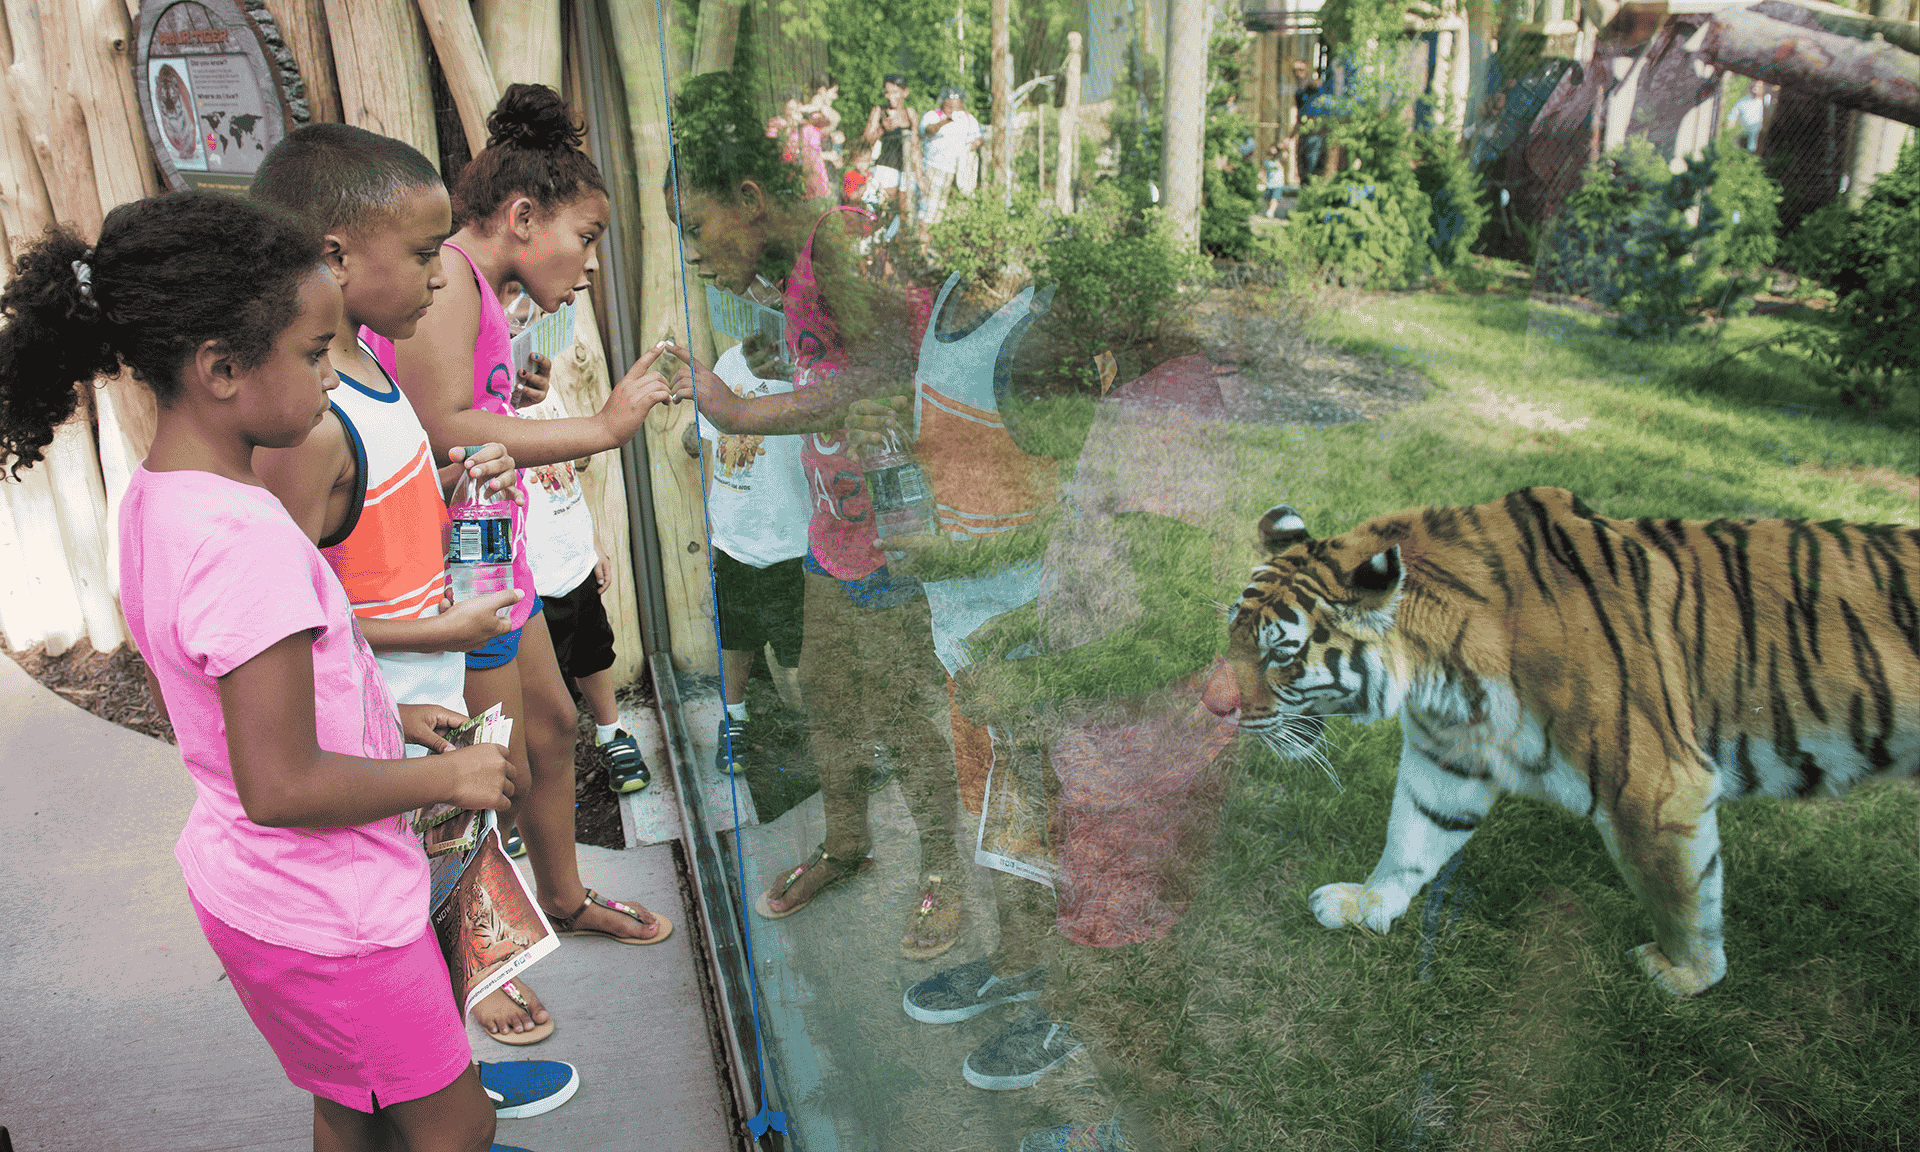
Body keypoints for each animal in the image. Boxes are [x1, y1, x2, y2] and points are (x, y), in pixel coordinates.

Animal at [1221, 481, 1912, 990]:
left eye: (1280, 654)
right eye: (1233, 632)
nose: (1212, 705)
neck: (1442, 668)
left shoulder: (1659, 785)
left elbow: (1684, 894)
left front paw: (1688, 975)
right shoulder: (1451, 754)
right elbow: (1414, 834)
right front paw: (1369, 903)